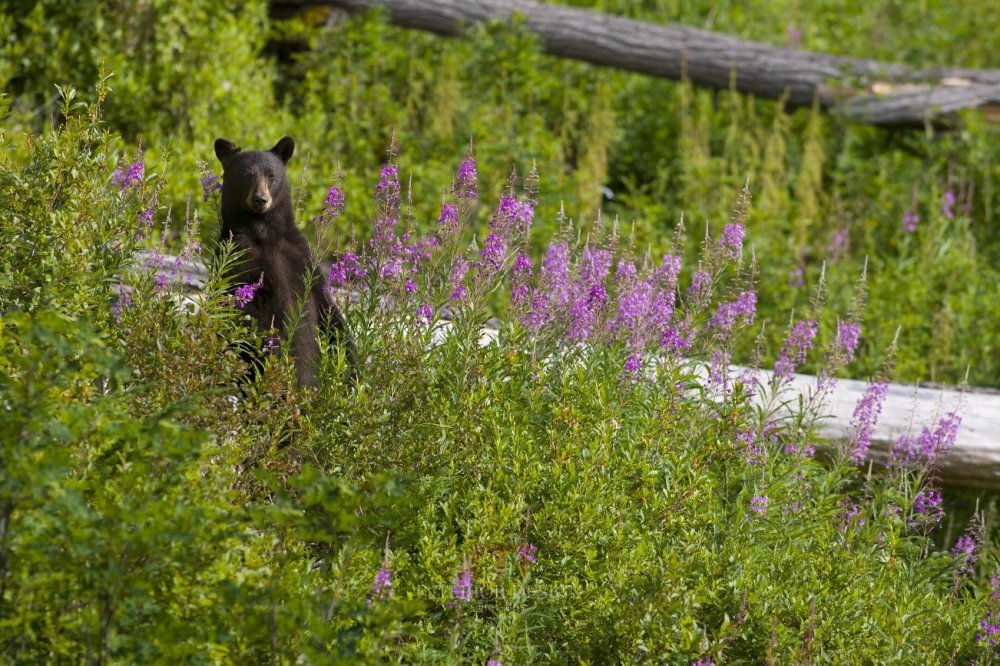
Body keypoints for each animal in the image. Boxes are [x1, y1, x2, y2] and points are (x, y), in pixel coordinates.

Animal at [215, 135, 360, 384]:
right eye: (246, 175)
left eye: (271, 175)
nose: (260, 199)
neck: (264, 234)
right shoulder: (237, 255)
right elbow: (245, 306)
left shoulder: (302, 257)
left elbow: (327, 307)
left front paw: (353, 364)